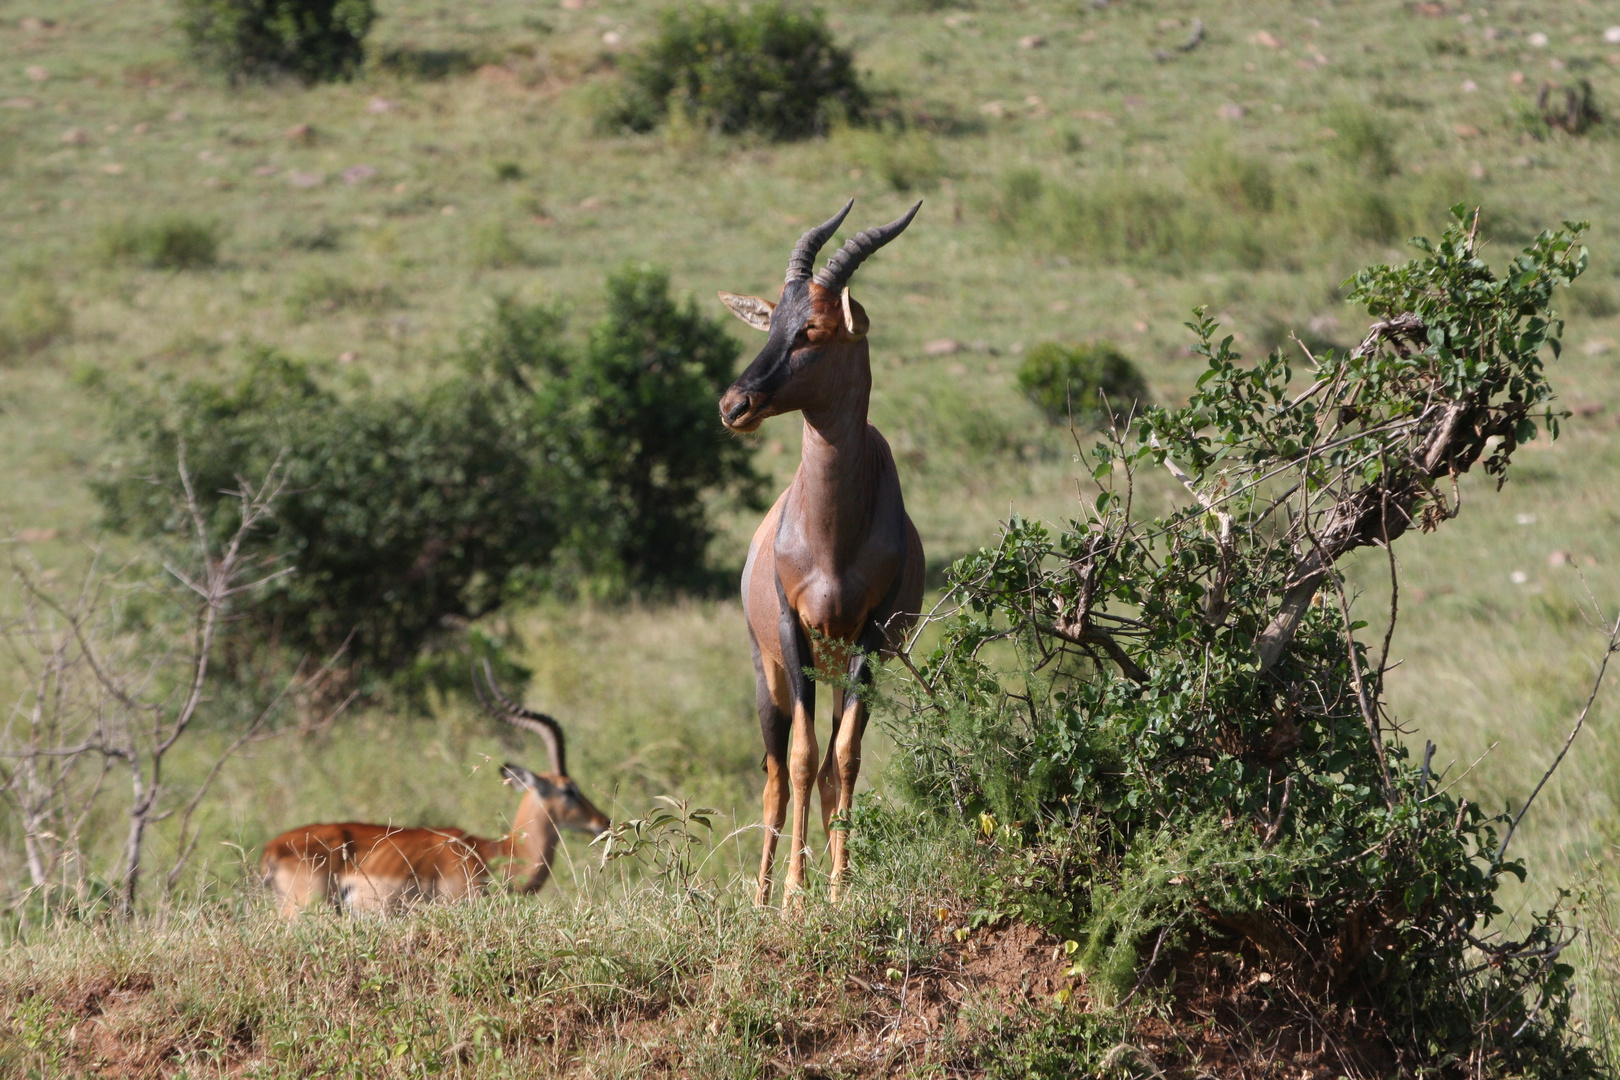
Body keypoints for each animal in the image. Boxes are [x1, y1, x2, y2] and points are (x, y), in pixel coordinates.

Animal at [719, 198, 926, 906]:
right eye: (772, 323)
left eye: (812, 330)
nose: (734, 405)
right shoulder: (792, 632)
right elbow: (803, 758)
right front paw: (790, 900)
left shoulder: (869, 636)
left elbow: (845, 759)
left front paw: (835, 891)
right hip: (769, 674)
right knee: (776, 775)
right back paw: (759, 897)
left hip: (837, 667)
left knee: (831, 764)